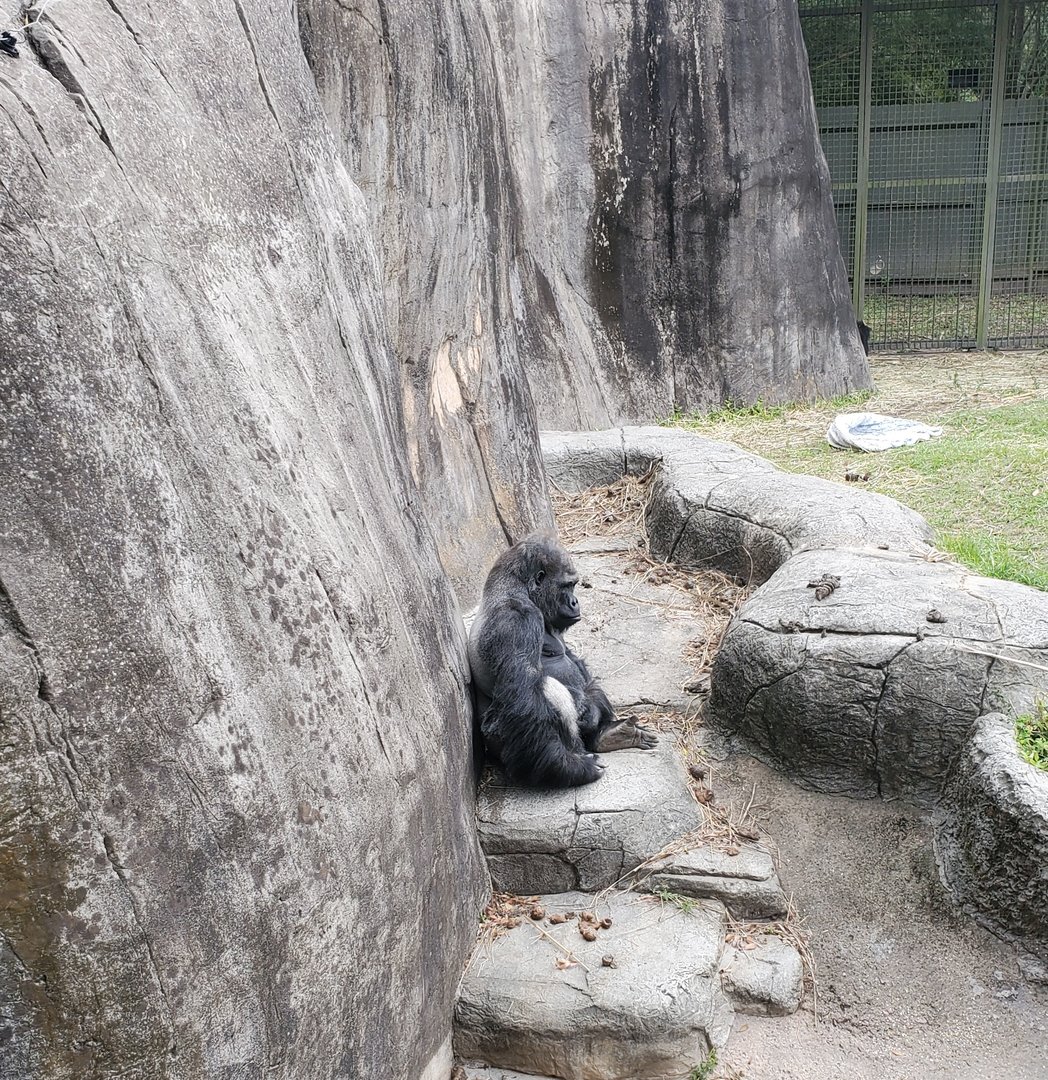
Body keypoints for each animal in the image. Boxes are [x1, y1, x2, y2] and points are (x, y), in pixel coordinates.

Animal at [468, 533, 656, 788]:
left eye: (574, 585)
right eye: (567, 585)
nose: (575, 602)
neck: (516, 589)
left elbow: (576, 663)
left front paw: (593, 713)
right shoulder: (516, 620)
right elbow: (522, 694)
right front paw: (570, 766)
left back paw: (608, 736)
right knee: (547, 689)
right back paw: (568, 760)